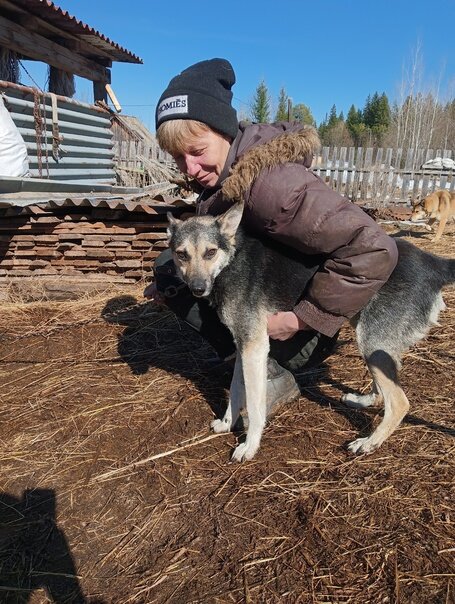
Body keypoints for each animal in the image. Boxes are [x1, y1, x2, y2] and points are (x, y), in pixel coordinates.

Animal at [167, 203, 455, 462]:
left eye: (210, 252)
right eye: (182, 254)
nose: (197, 289)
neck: (231, 261)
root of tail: (434, 263)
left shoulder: (254, 346)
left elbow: (256, 406)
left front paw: (249, 446)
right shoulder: (242, 345)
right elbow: (236, 389)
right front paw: (227, 423)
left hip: (372, 344)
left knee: (399, 403)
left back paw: (369, 443)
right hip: (374, 341)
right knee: (385, 389)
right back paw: (362, 402)